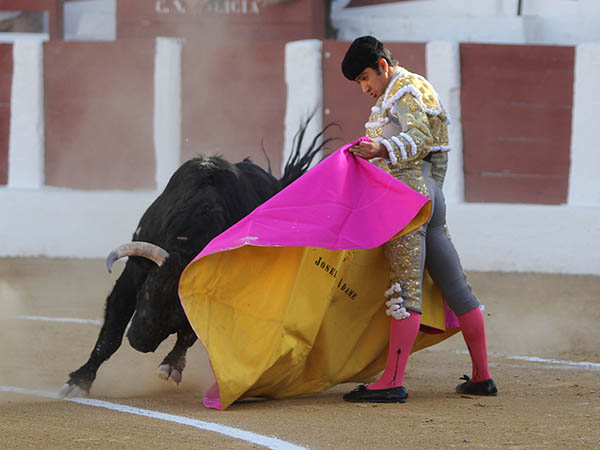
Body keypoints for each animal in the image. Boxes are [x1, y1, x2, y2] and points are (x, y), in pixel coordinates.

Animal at [59, 123, 332, 398]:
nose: (138, 342)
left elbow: (190, 334)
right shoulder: (133, 274)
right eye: (146, 293)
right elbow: (111, 333)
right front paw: (79, 381)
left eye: (179, 314)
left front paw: (171, 366)